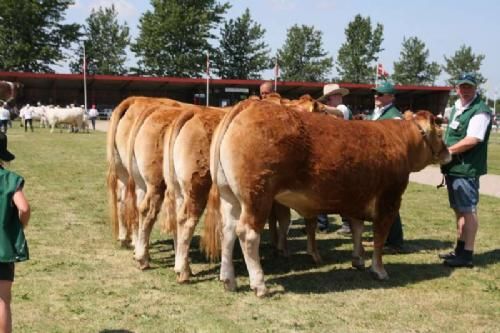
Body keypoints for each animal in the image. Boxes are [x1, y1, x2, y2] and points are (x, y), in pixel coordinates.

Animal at [201, 98, 452, 296]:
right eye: (440, 134)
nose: (448, 153)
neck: (401, 141)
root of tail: (248, 104)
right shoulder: (389, 200)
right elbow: (379, 238)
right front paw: (379, 270)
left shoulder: (356, 198)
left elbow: (357, 229)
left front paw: (358, 260)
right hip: (257, 196)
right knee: (247, 234)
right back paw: (259, 284)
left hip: (230, 196)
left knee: (227, 231)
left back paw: (228, 280)